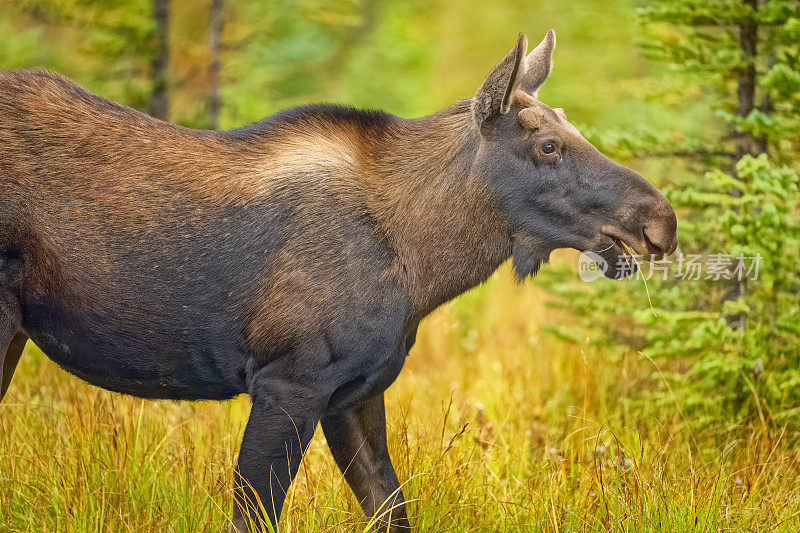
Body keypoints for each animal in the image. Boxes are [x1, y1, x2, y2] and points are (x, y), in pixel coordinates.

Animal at [0, 31, 676, 528]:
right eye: (547, 146)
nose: (660, 221)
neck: (421, 265)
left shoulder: (355, 394)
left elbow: (392, 511)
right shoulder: (288, 383)